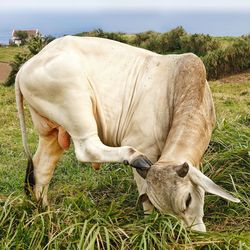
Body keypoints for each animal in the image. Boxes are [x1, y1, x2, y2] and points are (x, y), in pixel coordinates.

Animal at [14, 35, 239, 230]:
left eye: (188, 199)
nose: (190, 234)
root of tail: (27, 65)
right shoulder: (143, 144)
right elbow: (145, 196)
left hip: (52, 133)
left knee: (41, 169)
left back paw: (46, 214)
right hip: (76, 108)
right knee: (87, 148)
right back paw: (132, 157)